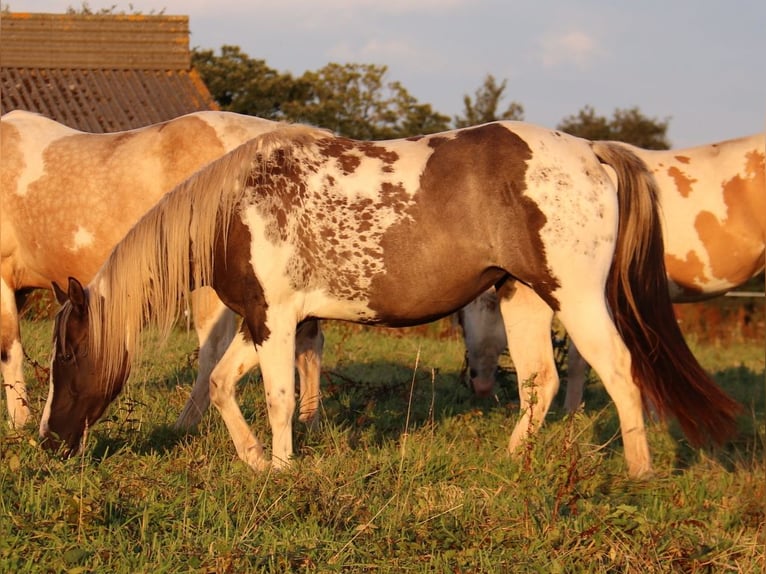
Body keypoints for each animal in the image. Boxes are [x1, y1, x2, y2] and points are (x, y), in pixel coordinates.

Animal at [0, 110, 324, 430]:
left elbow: (8, 349)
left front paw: (19, 422)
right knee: (307, 344)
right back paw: (308, 420)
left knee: (213, 351)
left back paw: (184, 424)